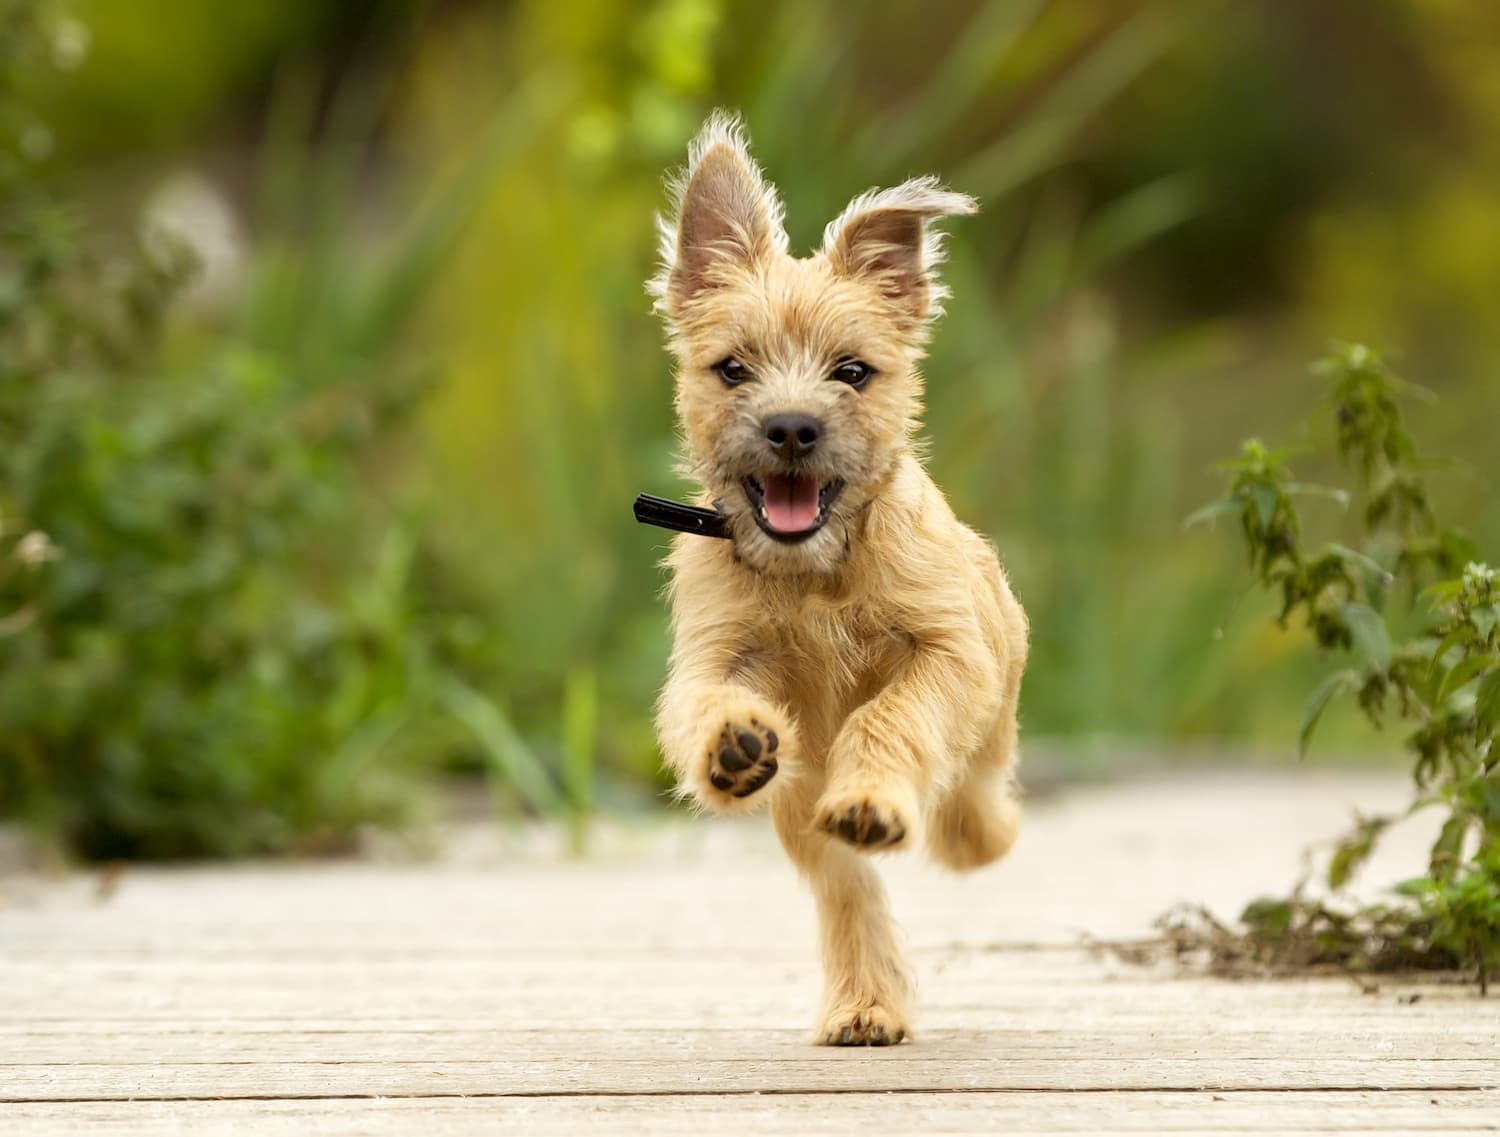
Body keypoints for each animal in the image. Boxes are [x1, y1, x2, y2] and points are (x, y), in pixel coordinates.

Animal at [651, 115, 1026, 1050]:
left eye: (852, 371)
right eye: (733, 369)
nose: (792, 428)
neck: (813, 573)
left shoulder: (947, 651)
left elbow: (889, 717)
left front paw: (879, 787)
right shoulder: (715, 654)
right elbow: (703, 703)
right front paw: (732, 743)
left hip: (992, 709)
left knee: (973, 798)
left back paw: (963, 831)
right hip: (800, 811)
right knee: (847, 886)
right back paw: (865, 1002)